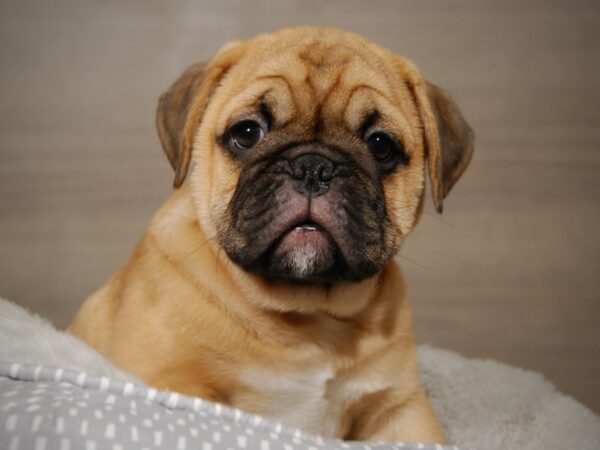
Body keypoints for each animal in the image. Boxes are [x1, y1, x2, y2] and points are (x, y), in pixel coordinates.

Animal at [69, 27, 474, 442]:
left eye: (380, 145)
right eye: (247, 133)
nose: (313, 167)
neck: (308, 312)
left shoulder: (401, 407)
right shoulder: (170, 380)